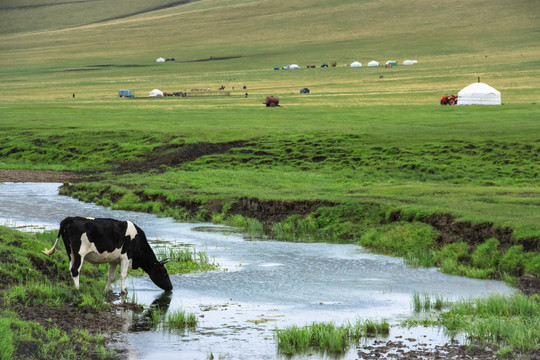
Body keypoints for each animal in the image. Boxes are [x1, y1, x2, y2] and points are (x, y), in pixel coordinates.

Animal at [42, 217, 173, 292]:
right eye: (164, 273)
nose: (171, 287)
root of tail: (70, 218)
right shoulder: (126, 257)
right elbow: (123, 275)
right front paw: (124, 290)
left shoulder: (114, 260)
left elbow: (111, 276)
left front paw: (107, 289)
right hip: (79, 252)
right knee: (75, 270)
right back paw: (78, 289)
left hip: (70, 252)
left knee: (71, 268)